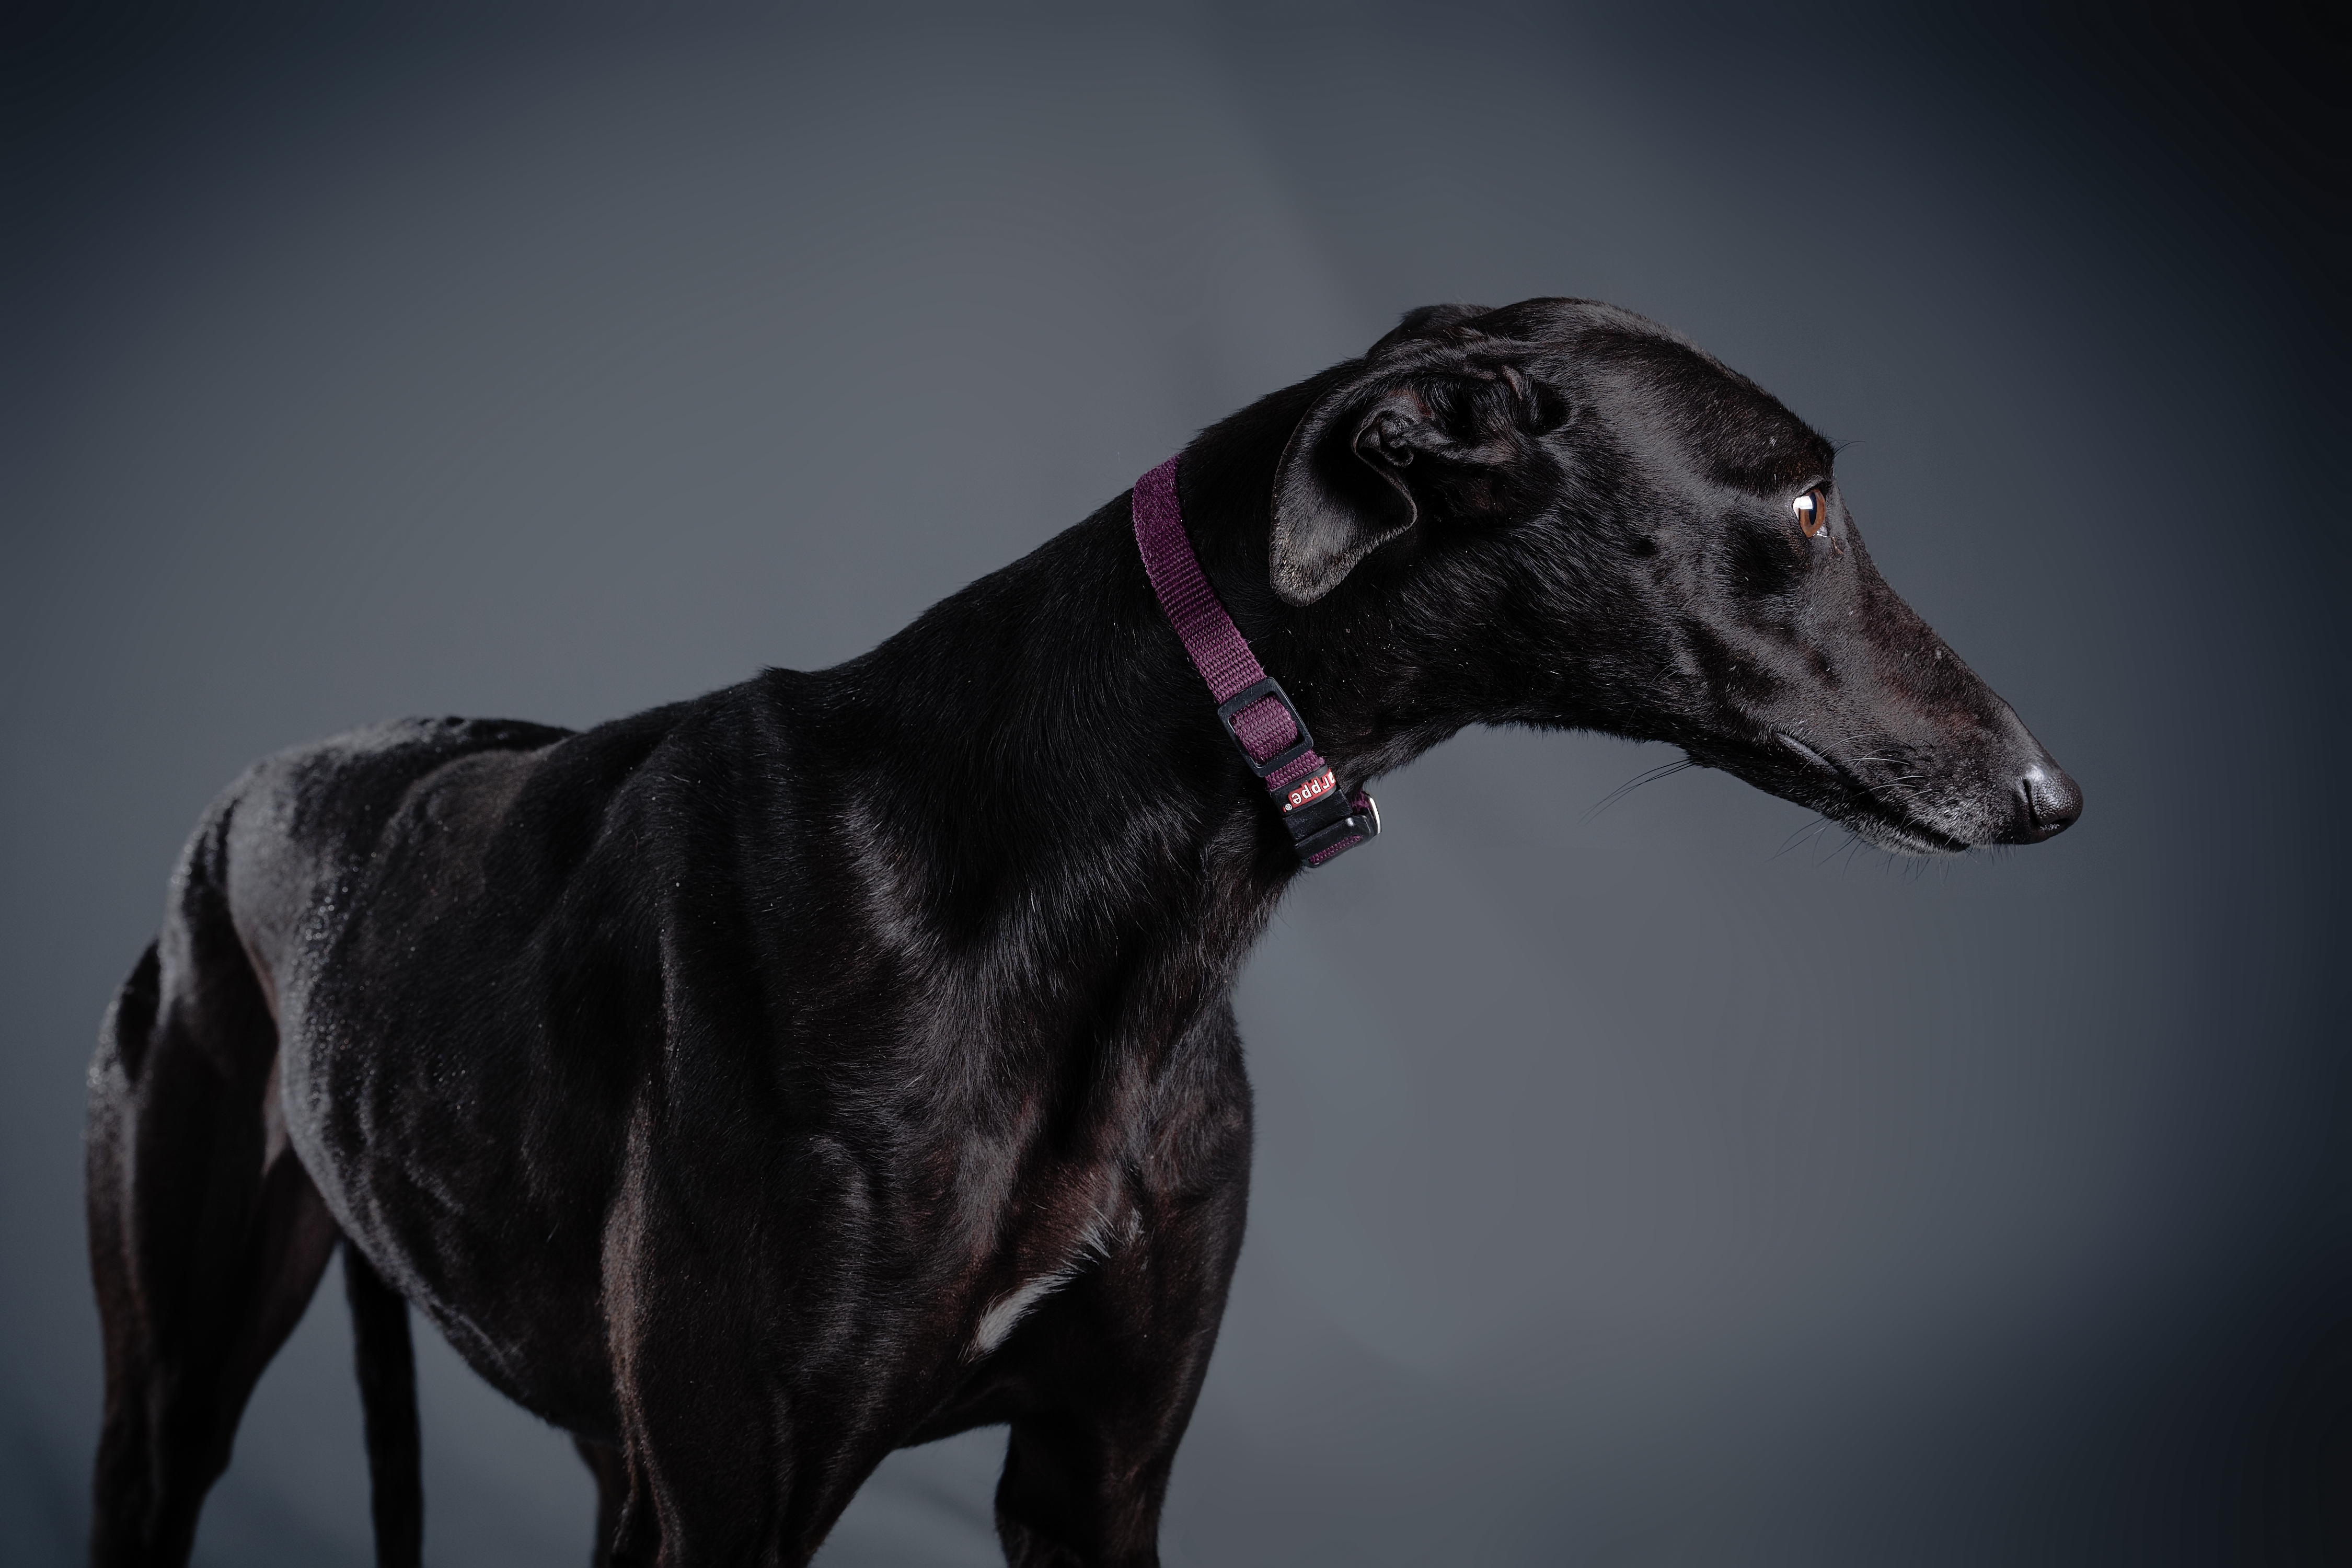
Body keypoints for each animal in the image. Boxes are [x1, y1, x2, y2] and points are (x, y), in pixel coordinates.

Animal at [84, 298, 2080, 1567]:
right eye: (1806, 503)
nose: (2053, 793)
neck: (1081, 877)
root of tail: (255, 782)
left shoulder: (1097, 1471)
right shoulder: (738, 1504)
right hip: (178, 1360)